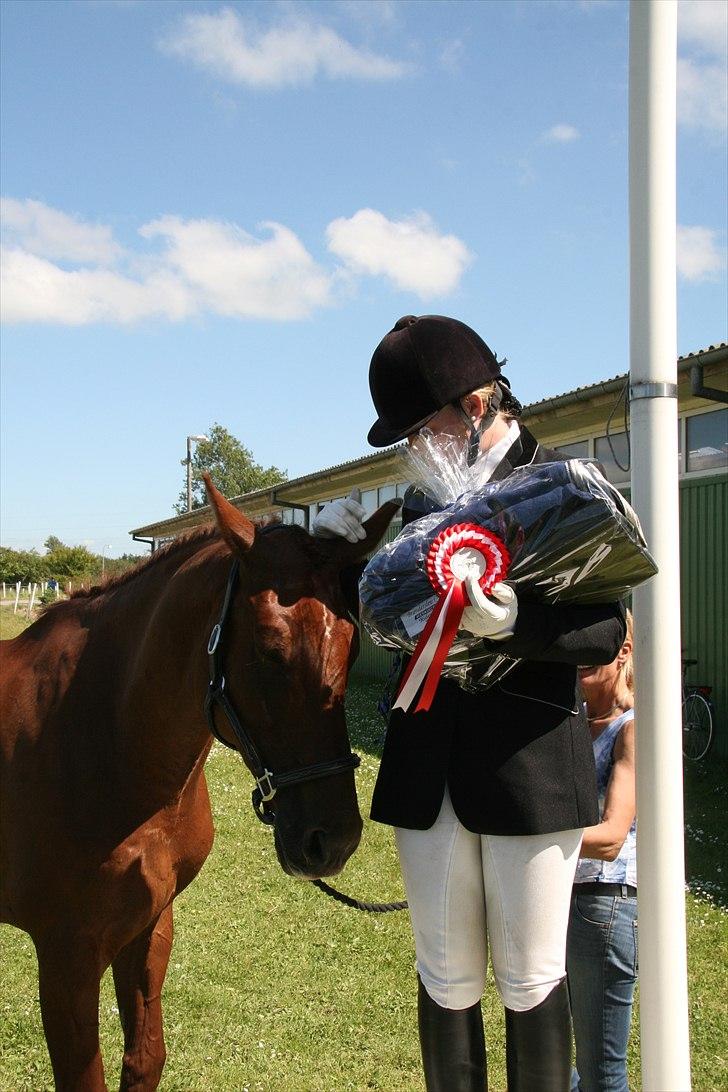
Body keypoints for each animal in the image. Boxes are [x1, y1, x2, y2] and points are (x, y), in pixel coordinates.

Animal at [1, 482, 399, 1092]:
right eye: (268, 651)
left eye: (354, 646)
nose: (332, 841)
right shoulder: (66, 956)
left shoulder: (148, 926)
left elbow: (145, 1059)